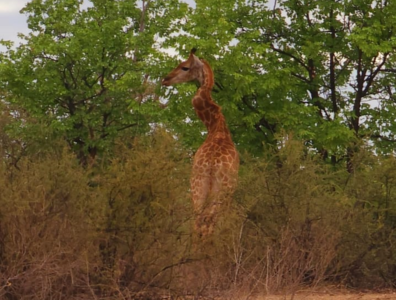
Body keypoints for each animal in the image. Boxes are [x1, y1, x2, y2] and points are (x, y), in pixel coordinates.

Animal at [161, 48, 238, 238]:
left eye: (185, 67)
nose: (165, 79)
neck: (215, 126)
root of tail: (211, 164)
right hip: (221, 192)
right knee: (208, 224)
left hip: (197, 187)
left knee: (197, 223)